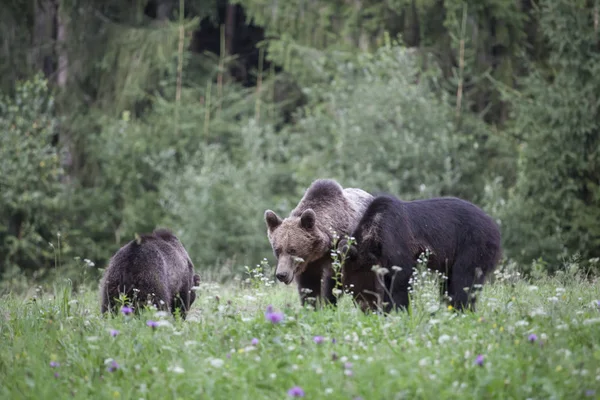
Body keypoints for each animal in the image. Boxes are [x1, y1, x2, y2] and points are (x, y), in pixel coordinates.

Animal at [264, 180, 372, 308]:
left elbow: (333, 282)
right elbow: (308, 287)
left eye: (293, 250)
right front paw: (310, 306)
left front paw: (329, 304)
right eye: (277, 250)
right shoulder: (309, 265)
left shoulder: (338, 253)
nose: (281, 274)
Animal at [338, 194, 502, 312]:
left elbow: (401, 278)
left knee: (464, 278)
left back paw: (462, 309)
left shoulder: (396, 239)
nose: (366, 310)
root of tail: (494, 225)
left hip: (473, 245)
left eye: (352, 289)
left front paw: (396, 308)